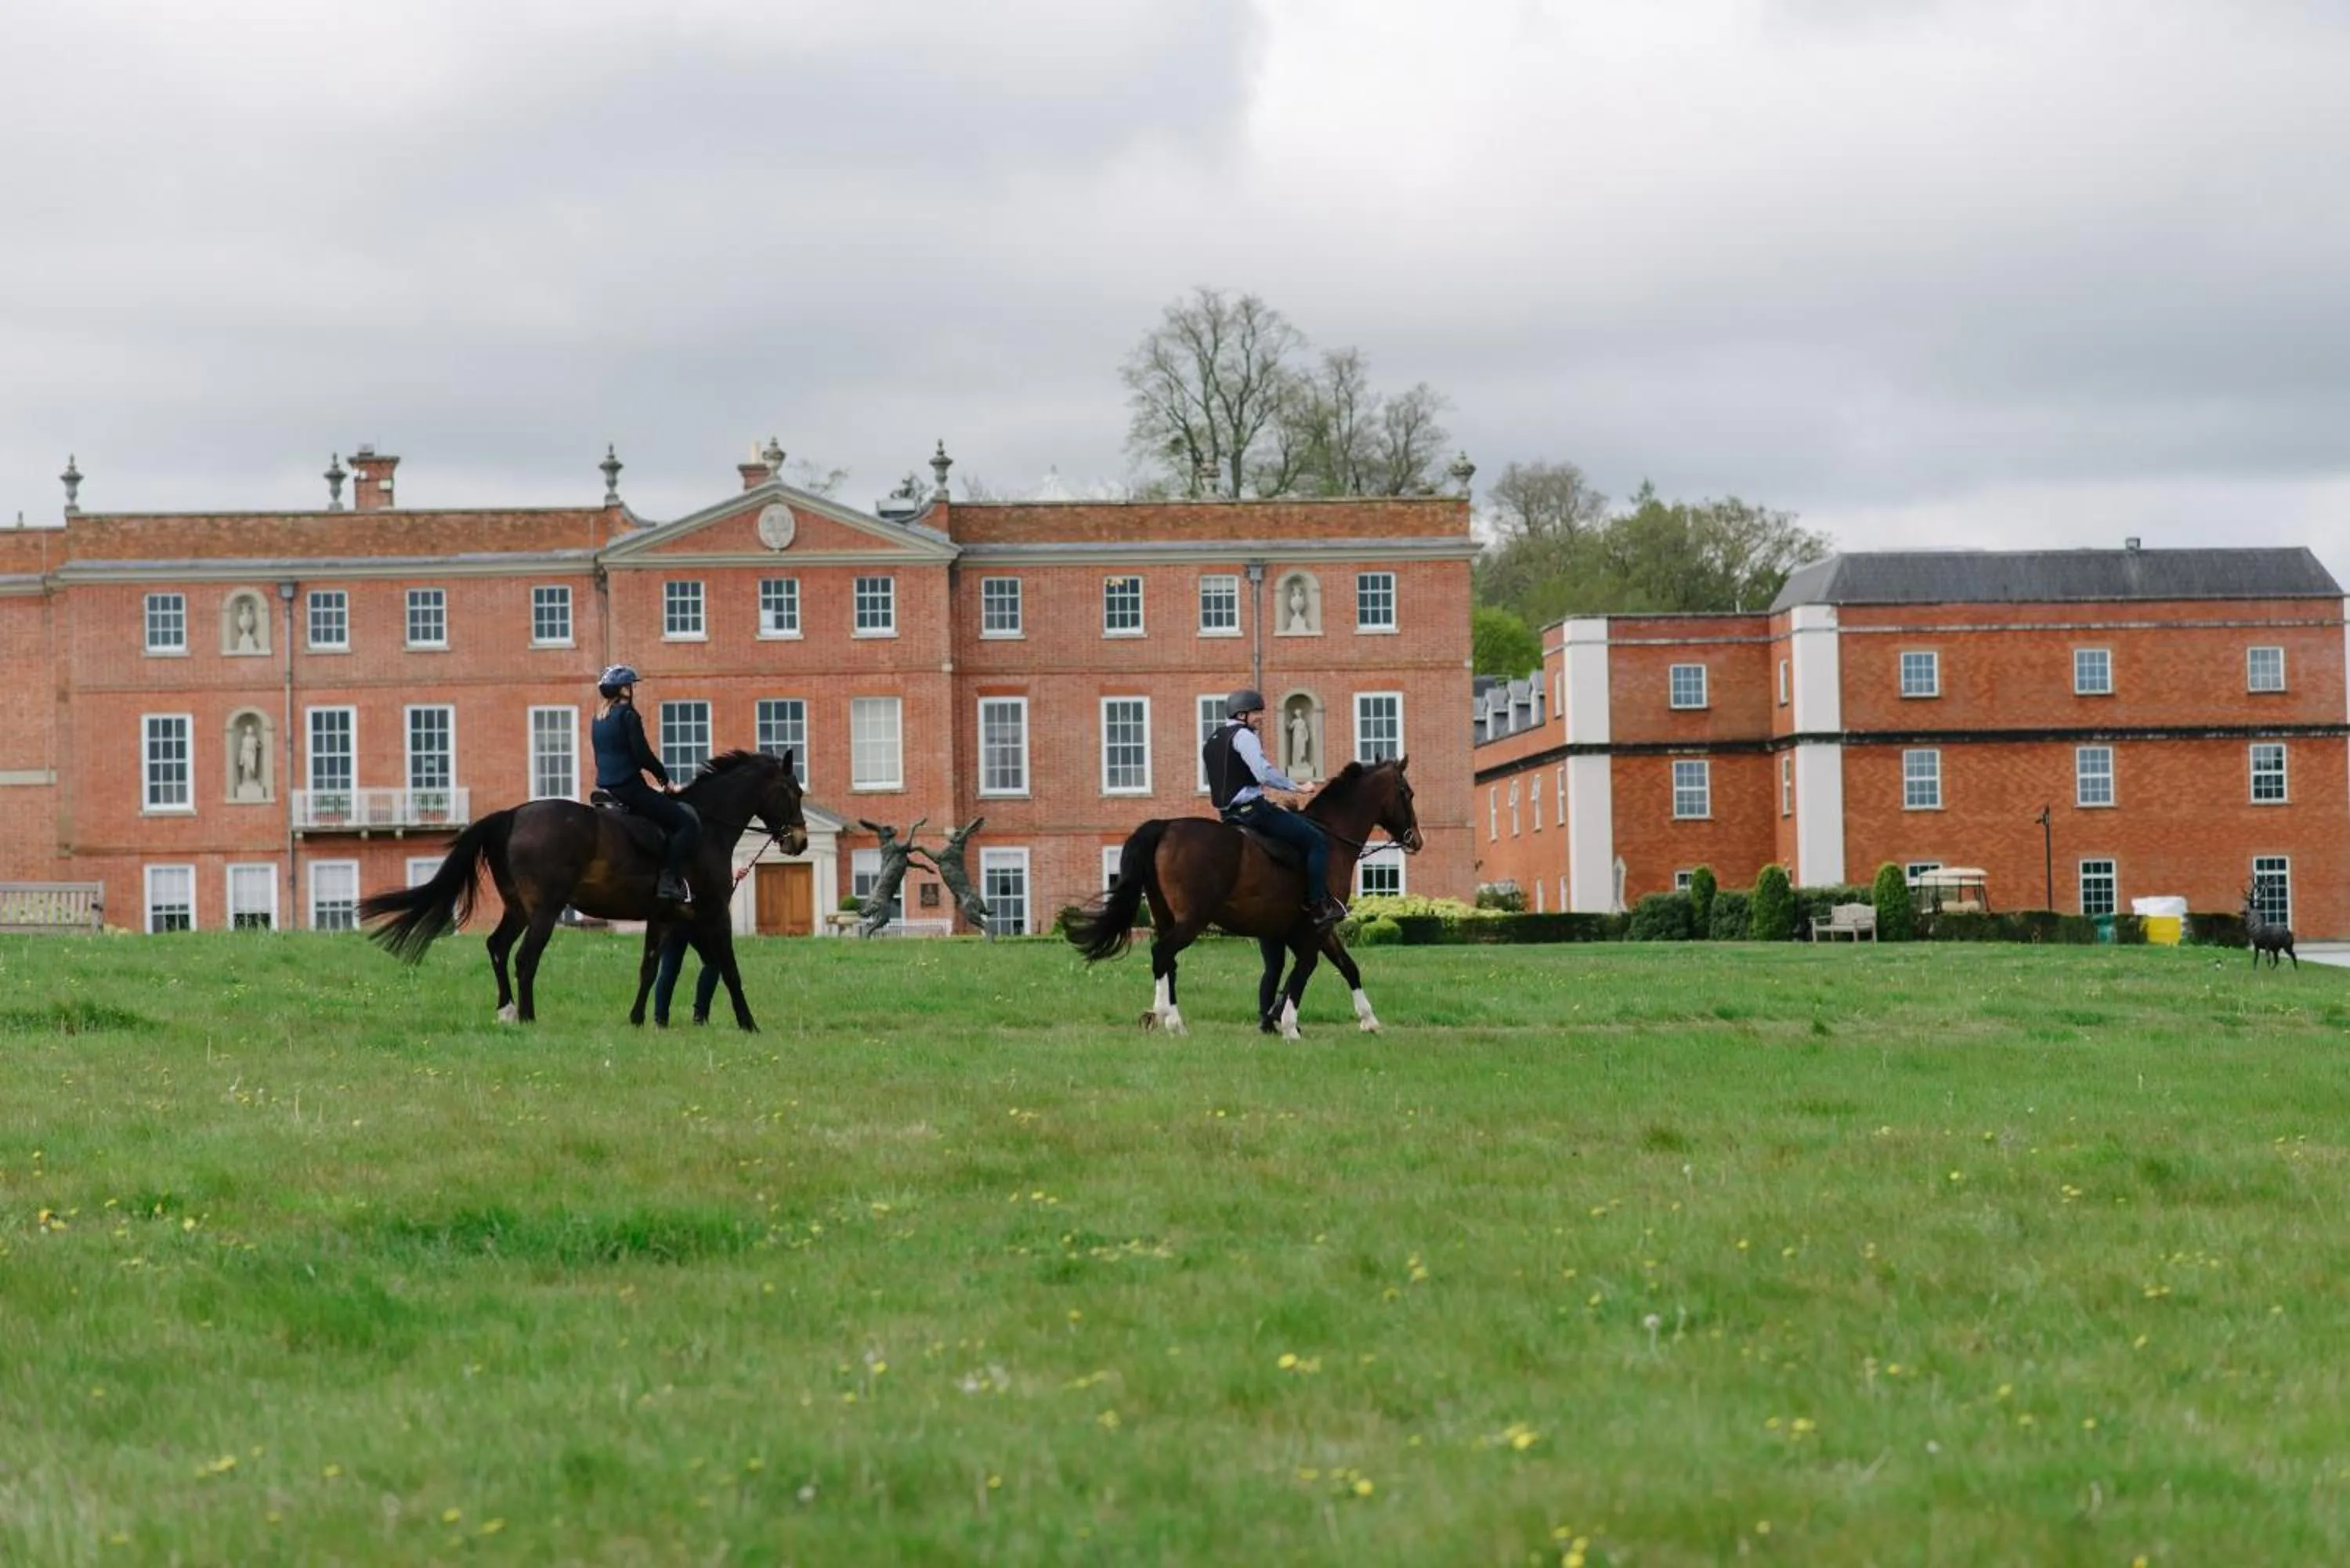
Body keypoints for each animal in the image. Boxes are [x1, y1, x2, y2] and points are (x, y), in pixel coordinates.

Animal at [359, 750, 809, 1027]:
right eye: (793, 791)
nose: (799, 841)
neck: (708, 825)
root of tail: (513, 814)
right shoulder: (714, 913)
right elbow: (730, 969)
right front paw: (749, 1024)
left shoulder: (665, 916)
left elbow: (649, 968)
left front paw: (637, 1019)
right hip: (545, 910)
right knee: (524, 957)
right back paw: (528, 1016)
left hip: (518, 908)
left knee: (498, 947)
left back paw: (507, 1009)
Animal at [1064, 758, 1423, 1037]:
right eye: (1407, 793)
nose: (1416, 840)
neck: (1331, 839)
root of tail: (1166, 826)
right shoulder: (1315, 928)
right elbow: (1305, 970)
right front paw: (1289, 1025)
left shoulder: (1306, 930)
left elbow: (1347, 967)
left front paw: (1369, 1020)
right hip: (1192, 920)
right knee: (1163, 953)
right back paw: (1171, 1019)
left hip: (1165, 917)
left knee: (1168, 962)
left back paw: (1165, 1015)